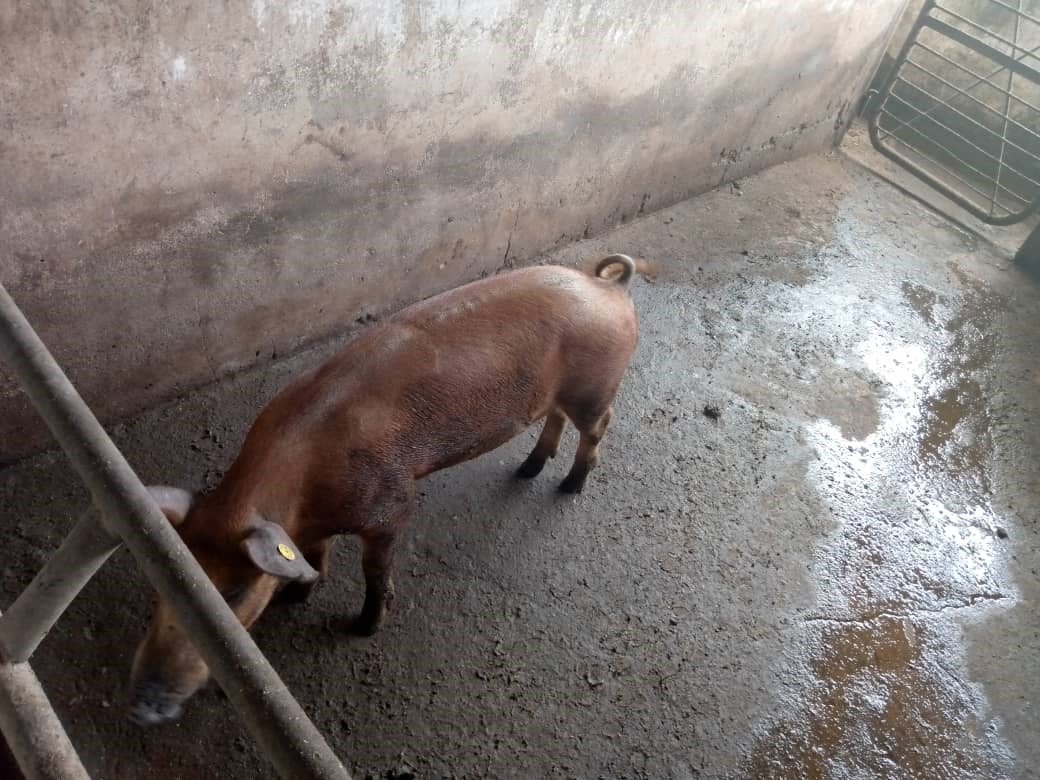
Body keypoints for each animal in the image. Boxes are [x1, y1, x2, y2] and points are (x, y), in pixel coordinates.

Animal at [129, 254, 641, 725]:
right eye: (160, 589)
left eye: (235, 592)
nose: (141, 705)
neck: (301, 496)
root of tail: (606, 286)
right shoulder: (314, 527)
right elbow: (315, 557)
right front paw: (297, 595)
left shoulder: (390, 508)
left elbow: (375, 570)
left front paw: (363, 627)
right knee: (555, 419)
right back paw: (526, 472)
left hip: (594, 389)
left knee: (599, 426)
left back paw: (569, 487)